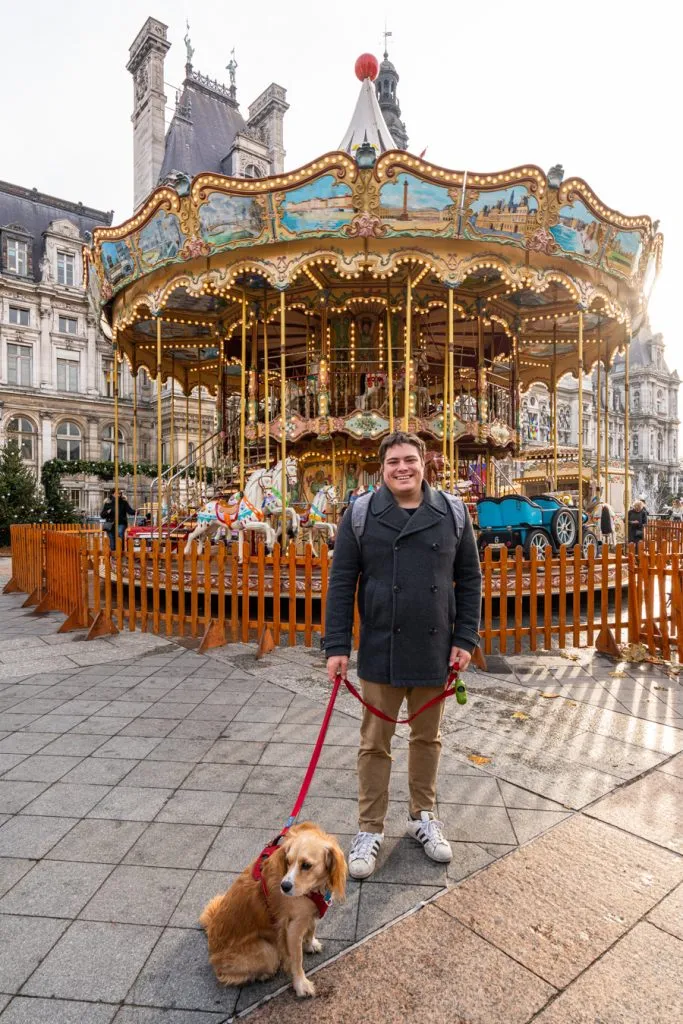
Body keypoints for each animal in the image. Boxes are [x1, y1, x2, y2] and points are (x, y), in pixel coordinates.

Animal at [198, 823, 348, 999]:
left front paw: (310, 944)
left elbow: (311, 929)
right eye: (288, 862)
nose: (285, 886)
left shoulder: (309, 914)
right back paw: (262, 975)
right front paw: (301, 984)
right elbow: (297, 960)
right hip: (266, 952)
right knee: (226, 975)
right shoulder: (293, 928)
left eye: (306, 865)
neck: (312, 890)